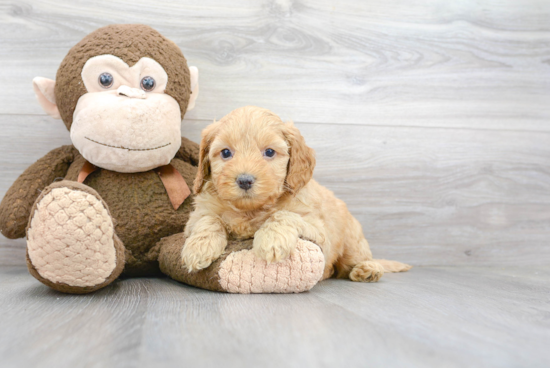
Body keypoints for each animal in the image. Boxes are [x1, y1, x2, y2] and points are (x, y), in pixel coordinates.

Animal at [181, 105, 410, 282]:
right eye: (226, 152)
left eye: (269, 152)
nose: (245, 180)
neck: (250, 210)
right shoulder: (196, 216)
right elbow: (209, 219)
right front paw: (199, 247)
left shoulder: (319, 230)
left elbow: (283, 215)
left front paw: (271, 239)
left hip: (352, 242)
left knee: (359, 259)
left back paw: (368, 270)